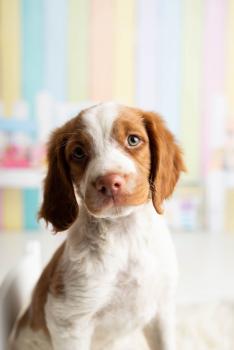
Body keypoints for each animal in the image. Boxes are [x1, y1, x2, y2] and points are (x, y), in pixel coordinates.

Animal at [11, 102, 186, 348]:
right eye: (78, 152)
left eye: (133, 140)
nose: (110, 182)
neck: (125, 237)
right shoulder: (69, 321)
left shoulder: (162, 310)